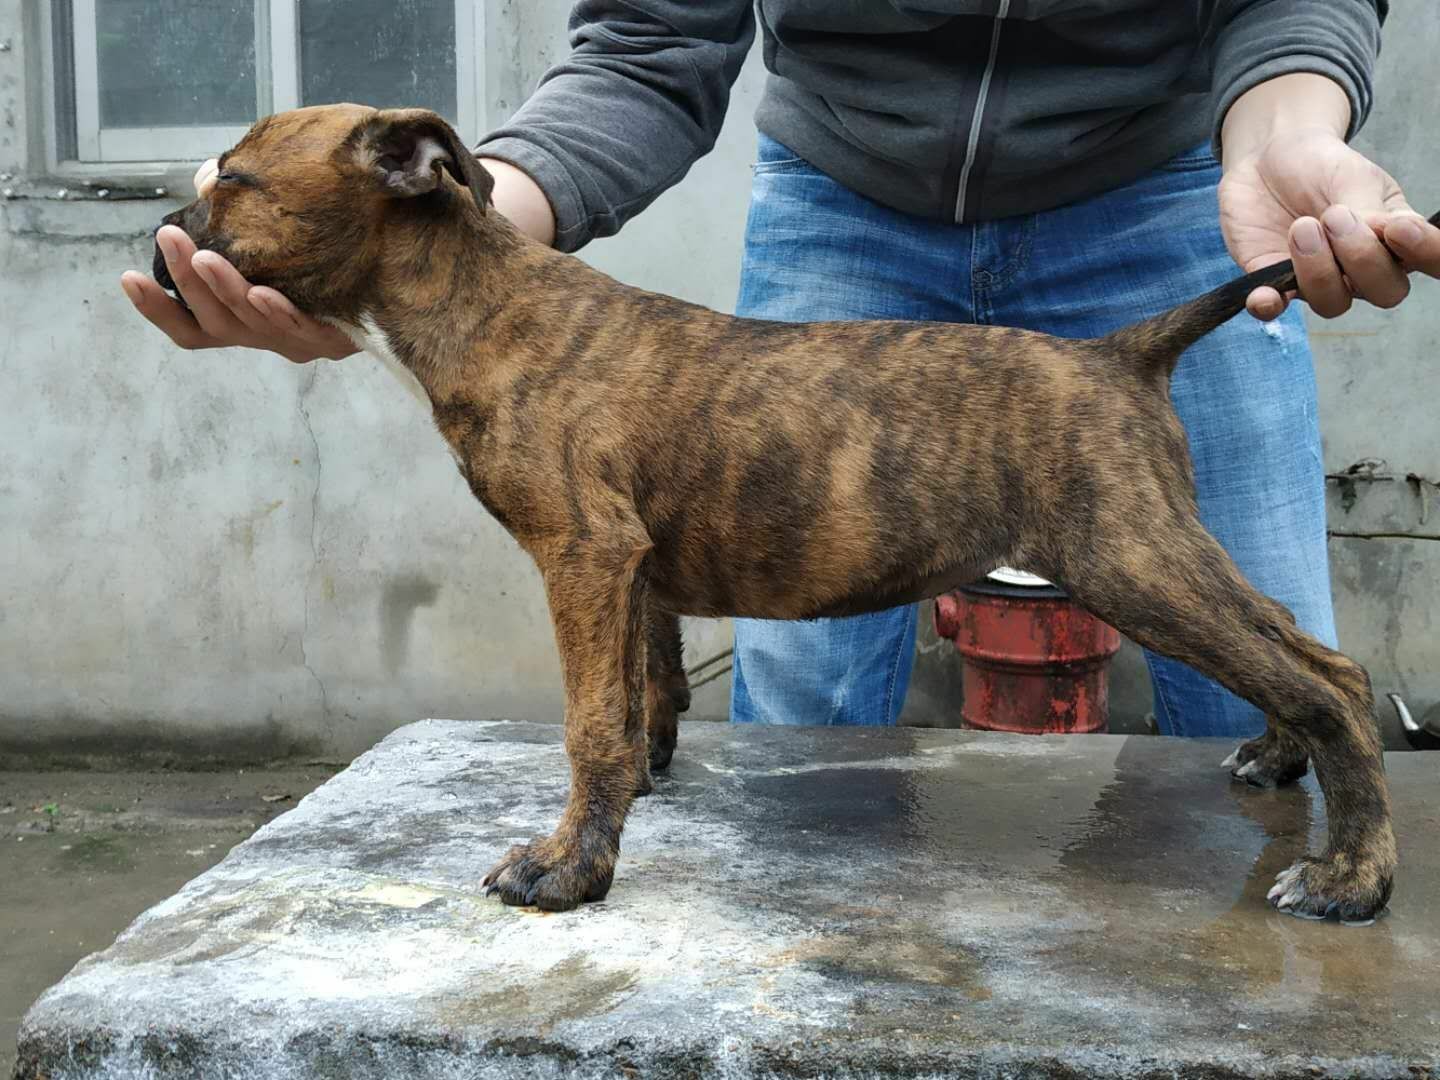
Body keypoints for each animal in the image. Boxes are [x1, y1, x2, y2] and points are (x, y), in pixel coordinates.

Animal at [149, 105, 1428, 927]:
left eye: (234, 181)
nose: (163, 255)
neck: (480, 302)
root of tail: (1120, 353)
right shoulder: (632, 572)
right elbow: (643, 699)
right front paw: (630, 802)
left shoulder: (582, 555)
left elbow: (589, 723)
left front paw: (565, 870)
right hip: (1160, 545)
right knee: (1306, 652)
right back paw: (1280, 759)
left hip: (1130, 559)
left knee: (1329, 681)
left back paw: (1352, 879)